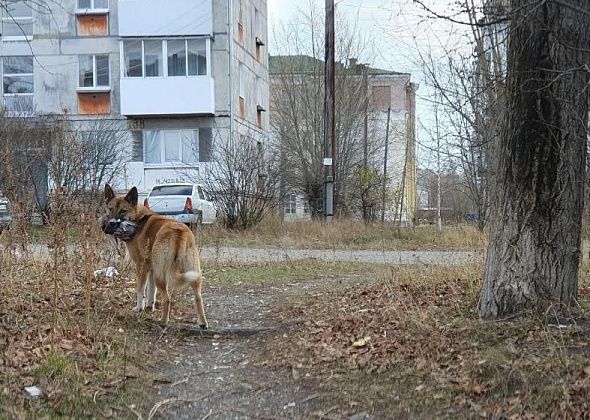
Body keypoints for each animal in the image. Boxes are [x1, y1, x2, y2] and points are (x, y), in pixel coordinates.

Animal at [103, 185, 209, 328]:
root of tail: (179, 231)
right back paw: (202, 322)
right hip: (193, 273)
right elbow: (151, 292)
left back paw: (163, 322)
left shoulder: (141, 267)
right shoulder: (152, 269)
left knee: (167, 299)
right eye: (110, 209)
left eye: (123, 211)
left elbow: (140, 290)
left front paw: (138, 308)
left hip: (161, 275)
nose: (112, 224)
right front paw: (149, 307)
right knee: (198, 296)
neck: (139, 219)